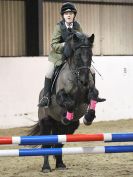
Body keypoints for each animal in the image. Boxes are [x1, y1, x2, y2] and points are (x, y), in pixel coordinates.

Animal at [29, 32, 102, 173]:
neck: (76, 76)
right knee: (46, 144)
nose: (84, 81)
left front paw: (88, 118)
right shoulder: (60, 96)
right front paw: (67, 116)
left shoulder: (89, 94)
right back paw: (46, 167)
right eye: (78, 56)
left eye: (90, 55)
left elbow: (93, 96)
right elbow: (70, 103)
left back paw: (60, 164)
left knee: (59, 143)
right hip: (46, 122)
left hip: (68, 128)